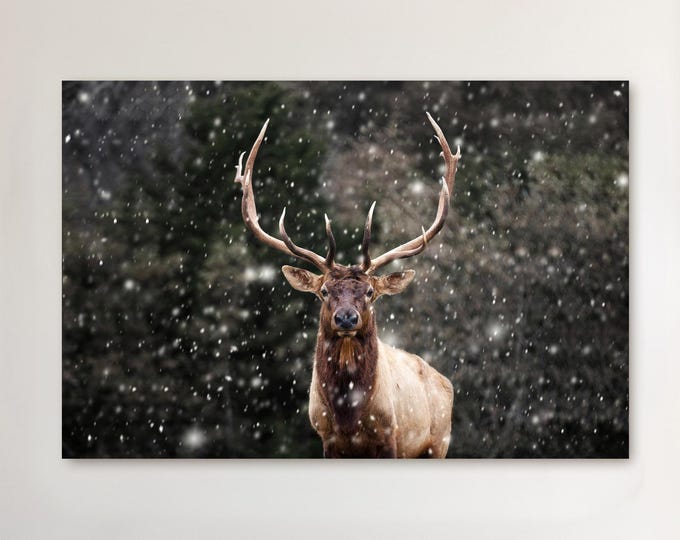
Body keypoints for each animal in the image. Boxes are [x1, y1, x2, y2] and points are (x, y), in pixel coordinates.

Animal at [234, 113, 461, 458]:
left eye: (370, 292)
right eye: (324, 291)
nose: (345, 318)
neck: (350, 419)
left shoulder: (391, 437)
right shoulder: (327, 439)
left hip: (439, 443)